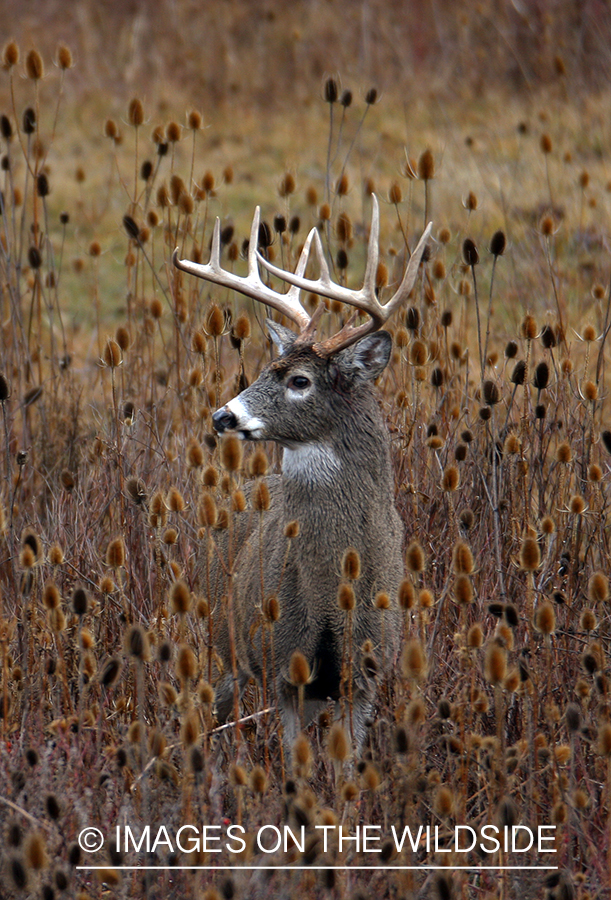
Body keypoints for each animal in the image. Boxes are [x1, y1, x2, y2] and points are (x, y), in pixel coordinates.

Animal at [172, 199, 430, 752]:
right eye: (265, 369)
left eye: (299, 380)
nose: (222, 416)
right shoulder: (281, 666)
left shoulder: (365, 676)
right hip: (224, 638)